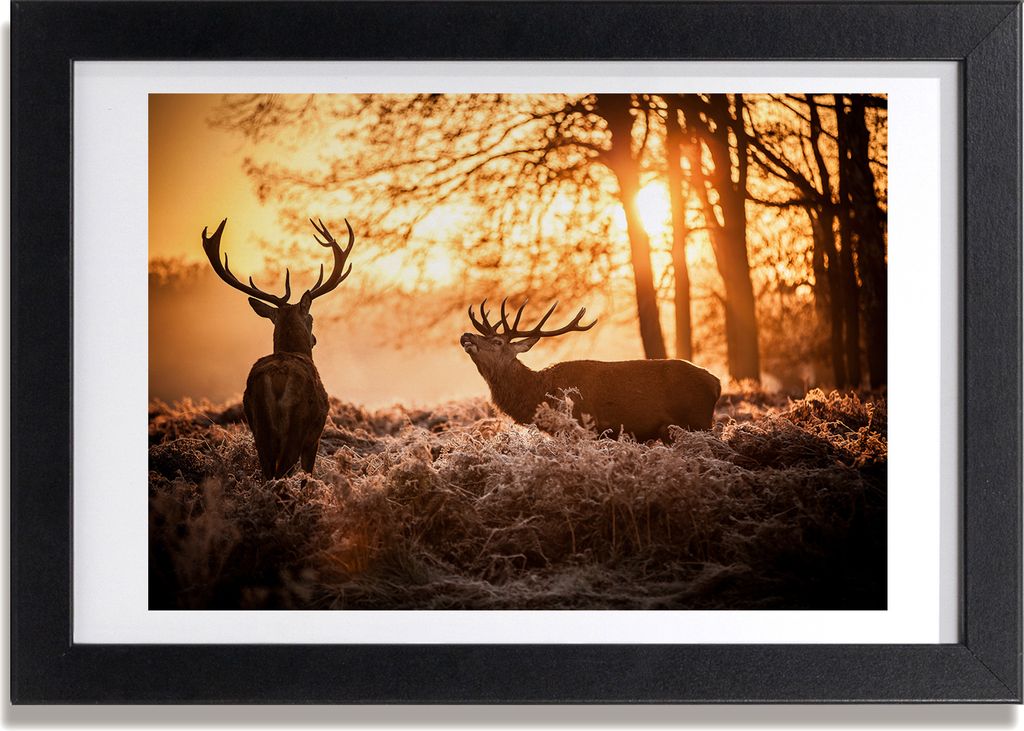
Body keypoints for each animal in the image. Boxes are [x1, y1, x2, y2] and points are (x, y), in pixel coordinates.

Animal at [201, 217, 354, 479]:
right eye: (311, 318)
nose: (314, 339)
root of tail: (276, 379)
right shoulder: (314, 437)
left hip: (259, 427)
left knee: (268, 473)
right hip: (297, 427)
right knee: (282, 472)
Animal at [460, 299, 721, 441]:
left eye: (497, 342)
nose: (466, 335)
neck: (540, 394)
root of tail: (716, 383)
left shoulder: (584, 428)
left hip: (698, 421)